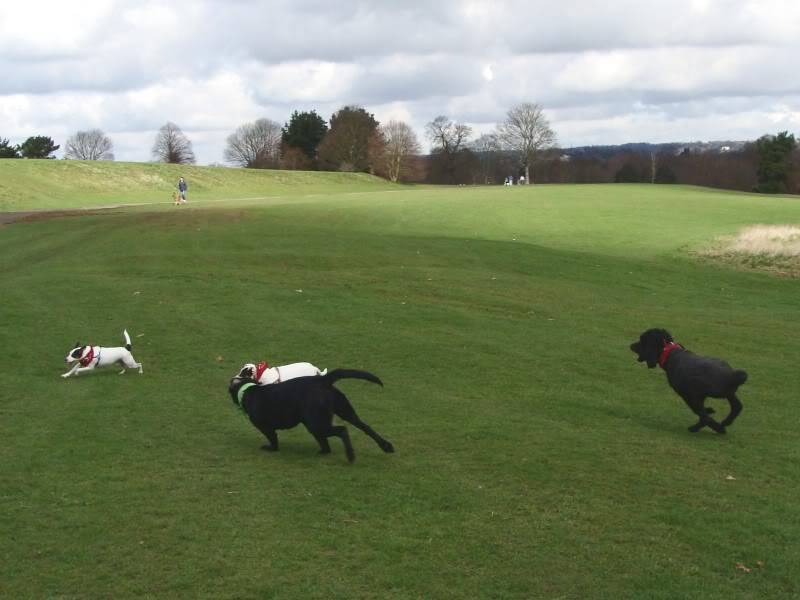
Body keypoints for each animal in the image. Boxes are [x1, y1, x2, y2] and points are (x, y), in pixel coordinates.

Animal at [228, 368, 394, 462]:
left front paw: (271, 448)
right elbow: (324, 443)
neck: (248, 390)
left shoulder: (266, 428)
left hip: (316, 424)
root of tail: (323, 379)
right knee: (365, 427)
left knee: (342, 430)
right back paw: (386, 446)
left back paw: (350, 455)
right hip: (341, 413)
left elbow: (274, 440)